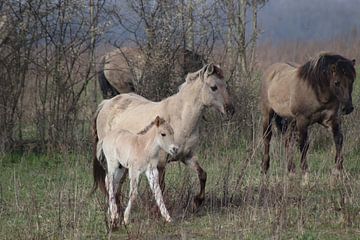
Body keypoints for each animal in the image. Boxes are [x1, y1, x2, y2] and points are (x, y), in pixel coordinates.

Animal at [260, 52, 356, 183]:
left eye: (352, 80)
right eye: (337, 82)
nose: (348, 108)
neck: (316, 90)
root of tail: (270, 71)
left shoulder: (331, 120)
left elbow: (338, 139)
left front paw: (338, 171)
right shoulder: (302, 121)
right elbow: (304, 145)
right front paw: (305, 176)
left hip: (291, 121)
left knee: (287, 141)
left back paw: (291, 171)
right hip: (268, 114)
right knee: (267, 138)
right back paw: (265, 170)